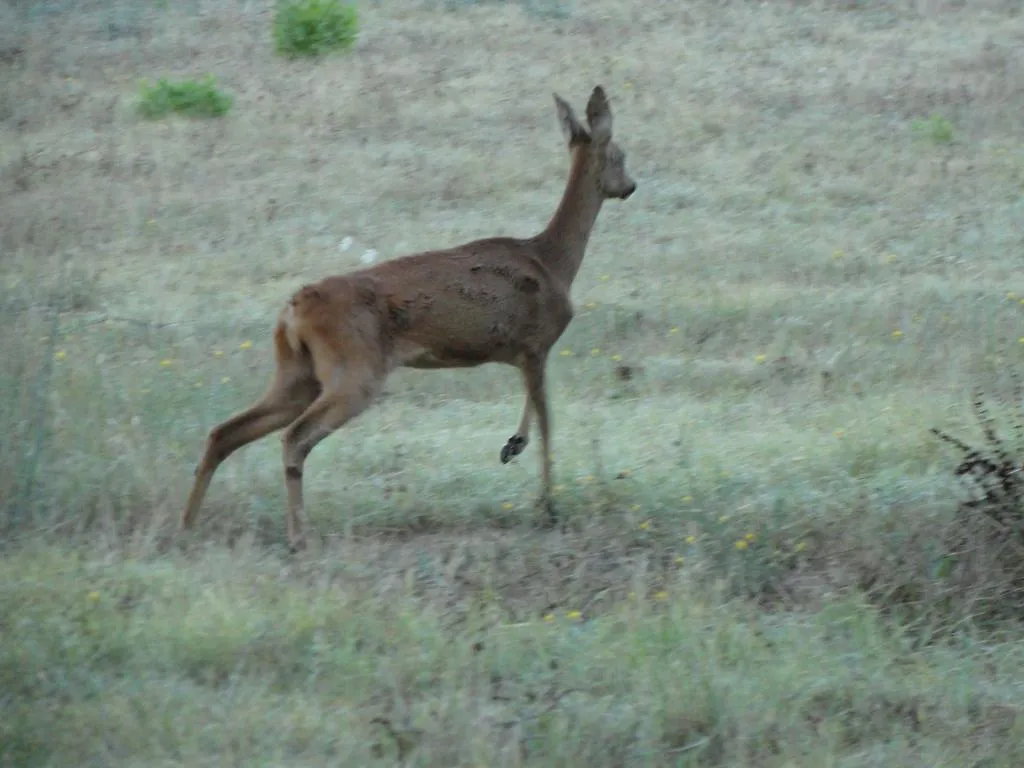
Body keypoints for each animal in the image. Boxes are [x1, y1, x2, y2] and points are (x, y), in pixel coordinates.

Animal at [180, 85, 634, 552]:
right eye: (621, 155)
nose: (630, 186)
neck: (553, 261)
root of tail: (293, 310)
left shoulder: (522, 353)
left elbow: (533, 410)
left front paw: (512, 446)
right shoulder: (536, 342)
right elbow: (548, 421)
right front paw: (547, 504)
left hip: (296, 373)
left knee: (224, 432)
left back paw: (186, 528)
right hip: (354, 369)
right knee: (293, 437)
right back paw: (298, 536)